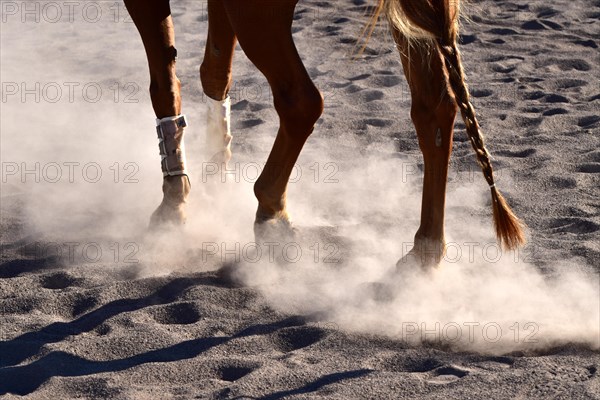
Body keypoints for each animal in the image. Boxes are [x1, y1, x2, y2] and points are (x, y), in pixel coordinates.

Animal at [125, 0, 524, 268]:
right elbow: (215, 71)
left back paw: (272, 212)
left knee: (300, 101)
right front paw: (215, 174)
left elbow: (165, 84)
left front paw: (175, 197)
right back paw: (425, 251)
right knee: (435, 109)